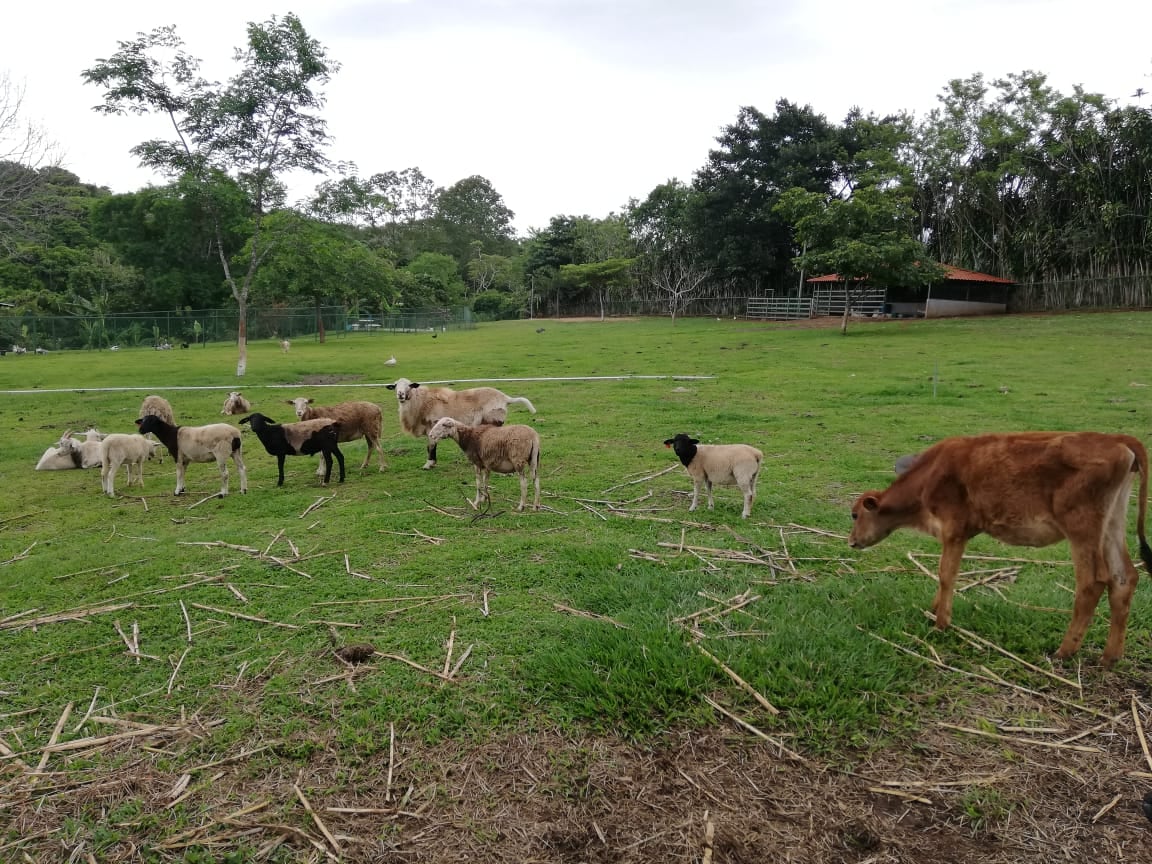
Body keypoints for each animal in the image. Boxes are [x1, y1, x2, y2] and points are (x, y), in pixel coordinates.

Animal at [385, 377, 537, 469]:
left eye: (410, 386)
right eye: (395, 386)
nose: (400, 394)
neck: (422, 402)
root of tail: (505, 398)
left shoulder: (432, 427)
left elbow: (431, 446)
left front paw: (429, 464)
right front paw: (432, 463)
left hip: (494, 419)